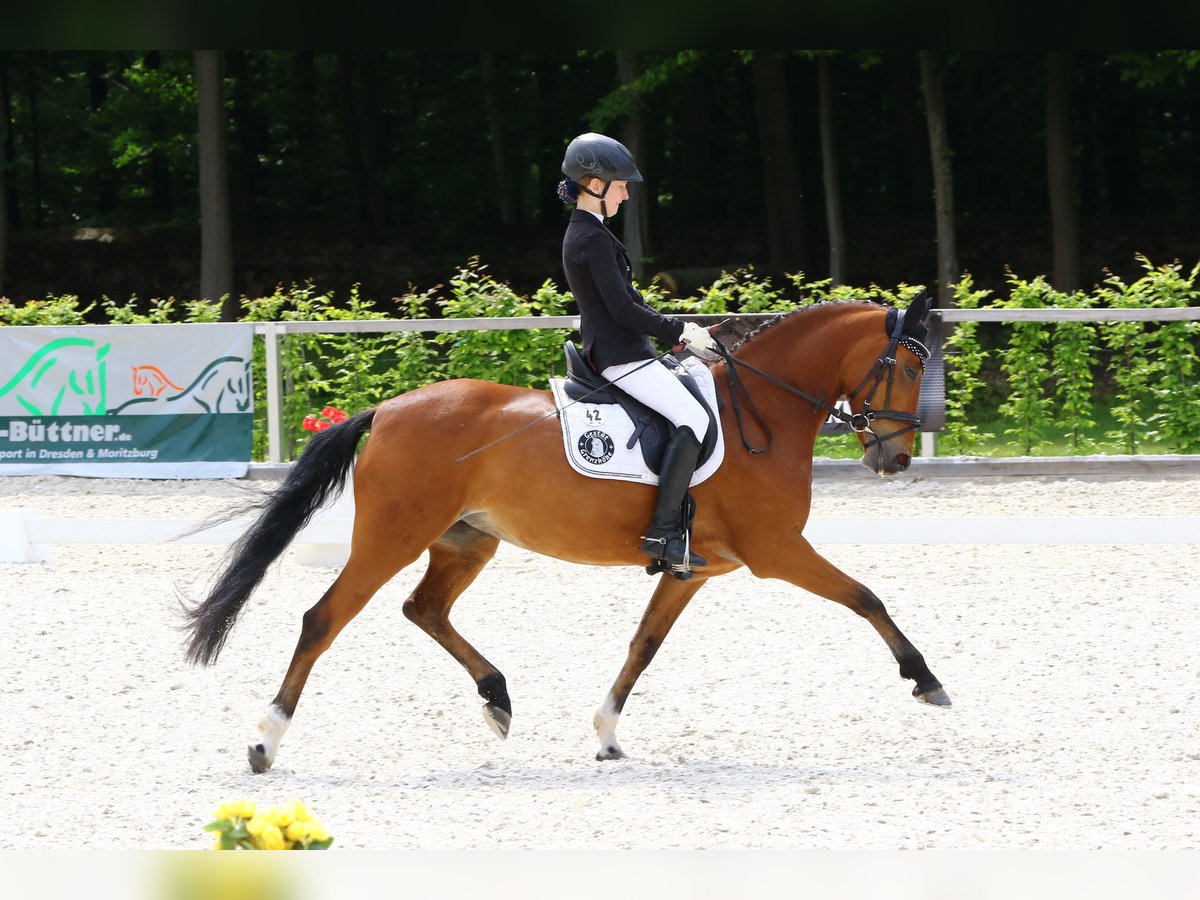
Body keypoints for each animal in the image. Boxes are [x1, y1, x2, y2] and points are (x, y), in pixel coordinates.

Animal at [180, 290, 945, 777]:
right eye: (910, 366)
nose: (895, 459)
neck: (765, 409)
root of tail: (389, 411)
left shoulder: (694, 568)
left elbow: (644, 644)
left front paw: (606, 734)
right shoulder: (777, 552)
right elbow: (867, 597)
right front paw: (927, 680)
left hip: (467, 540)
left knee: (423, 608)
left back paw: (497, 698)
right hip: (390, 539)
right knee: (324, 619)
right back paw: (266, 743)